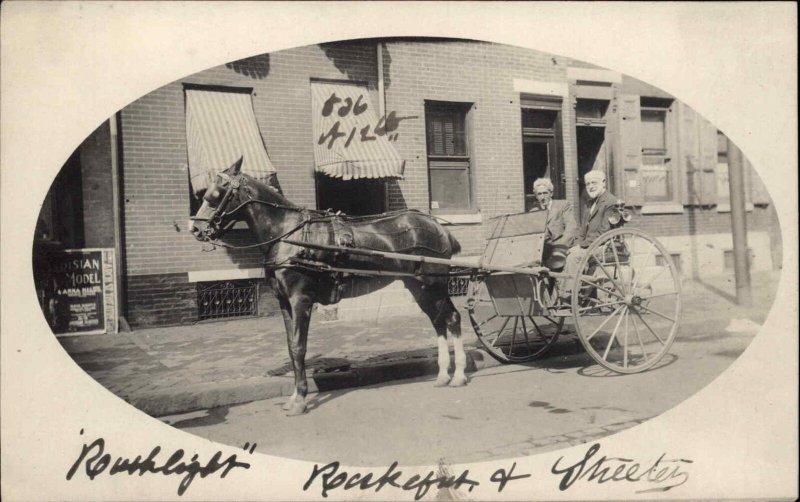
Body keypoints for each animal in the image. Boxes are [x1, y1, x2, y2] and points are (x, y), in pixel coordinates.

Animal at [190, 158, 468, 416]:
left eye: (217, 193)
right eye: (204, 192)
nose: (196, 228)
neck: (288, 235)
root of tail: (438, 226)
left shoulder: (300, 299)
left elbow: (299, 347)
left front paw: (300, 400)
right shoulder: (283, 301)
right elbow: (291, 347)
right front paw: (294, 397)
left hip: (435, 284)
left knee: (452, 318)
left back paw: (458, 376)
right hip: (418, 286)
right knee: (438, 320)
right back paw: (443, 375)